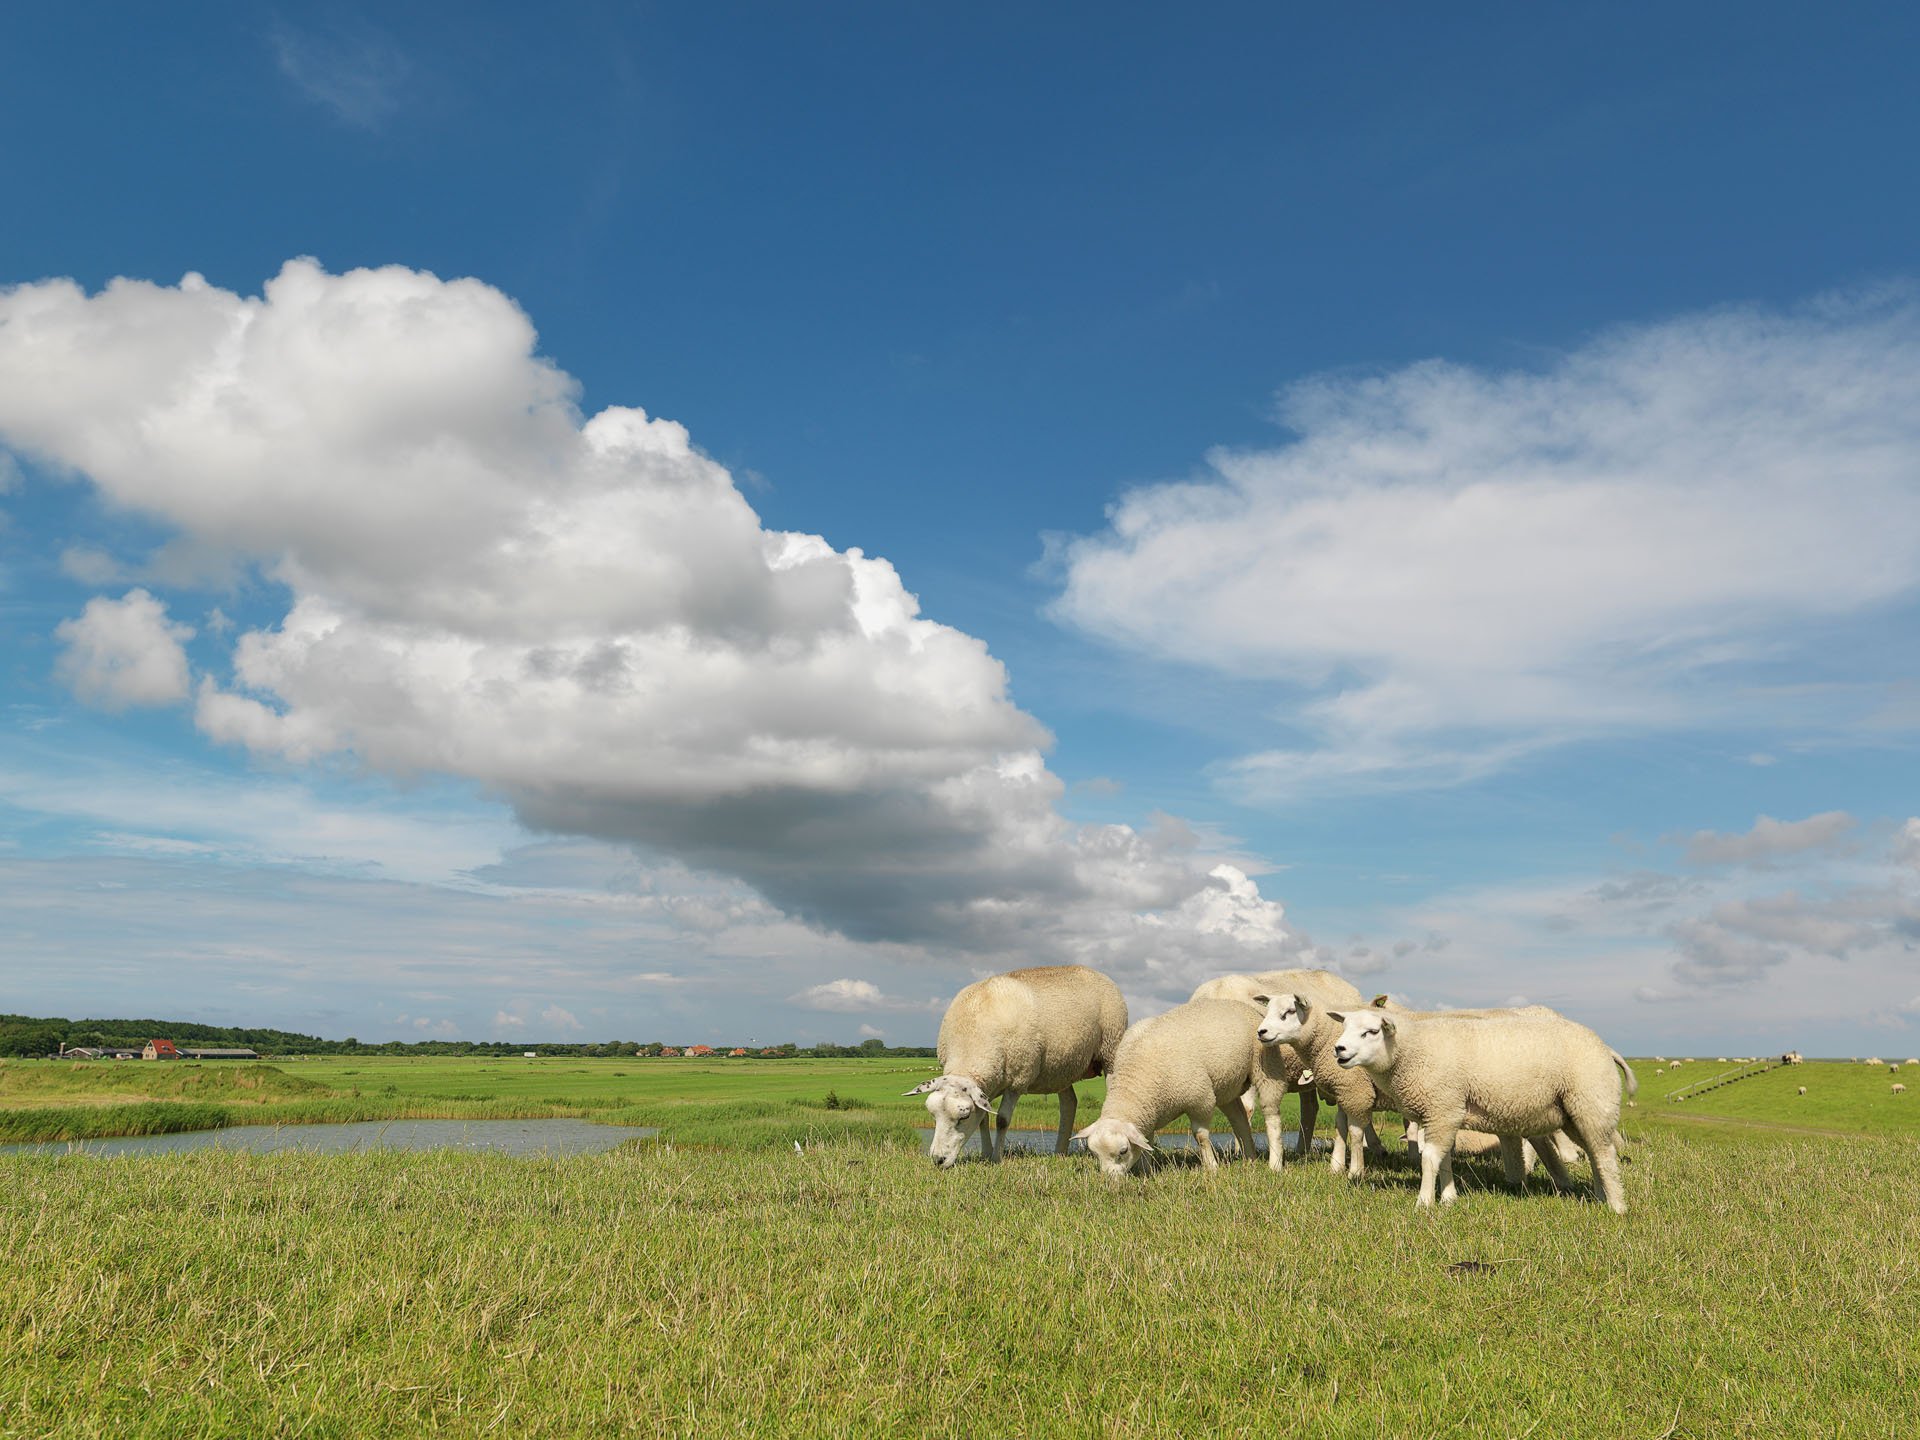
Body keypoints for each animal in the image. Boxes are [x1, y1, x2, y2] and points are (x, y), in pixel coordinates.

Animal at [907, 964, 1127, 1168]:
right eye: (933, 1115)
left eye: (964, 1116)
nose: (938, 1160)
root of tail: (1096, 972)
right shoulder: (987, 1085)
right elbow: (984, 1118)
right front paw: (985, 1154)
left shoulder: (1018, 1080)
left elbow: (1002, 1120)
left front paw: (996, 1158)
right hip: (1061, 1068)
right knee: (1069, 1104)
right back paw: (1059, 1153)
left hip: (1111, 1049)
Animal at [1073, 999, 1264, 1177]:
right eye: (1095, 1154)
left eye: (1123, 1151)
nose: (1109, 1181)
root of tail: (1234, 1002)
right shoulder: (1148, 1113)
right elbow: (1146, 1142)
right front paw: (1146, 1171)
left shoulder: (1201, 1100)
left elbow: (1201, 1136)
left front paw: (1211, 1168)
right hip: (1226, 1090)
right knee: (1240, 1120)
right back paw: (1251, 1159)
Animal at [1327, 1006, 1636, 1213]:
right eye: (1345, 1027)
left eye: (1372, 1032)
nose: (1338, 1049)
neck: (1411, 1051)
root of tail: (1605, 1047)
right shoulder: (1443, 1112)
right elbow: (1444, 1158)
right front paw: (1449, 1198)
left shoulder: (1442, 1107)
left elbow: (1430, 1158)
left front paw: (1424, 1203)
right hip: (1575, 1113)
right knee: (1596, 1153)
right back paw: (1600, 1197)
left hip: (1592, 1103)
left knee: (1605, 1155)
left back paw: (1617, 1206)